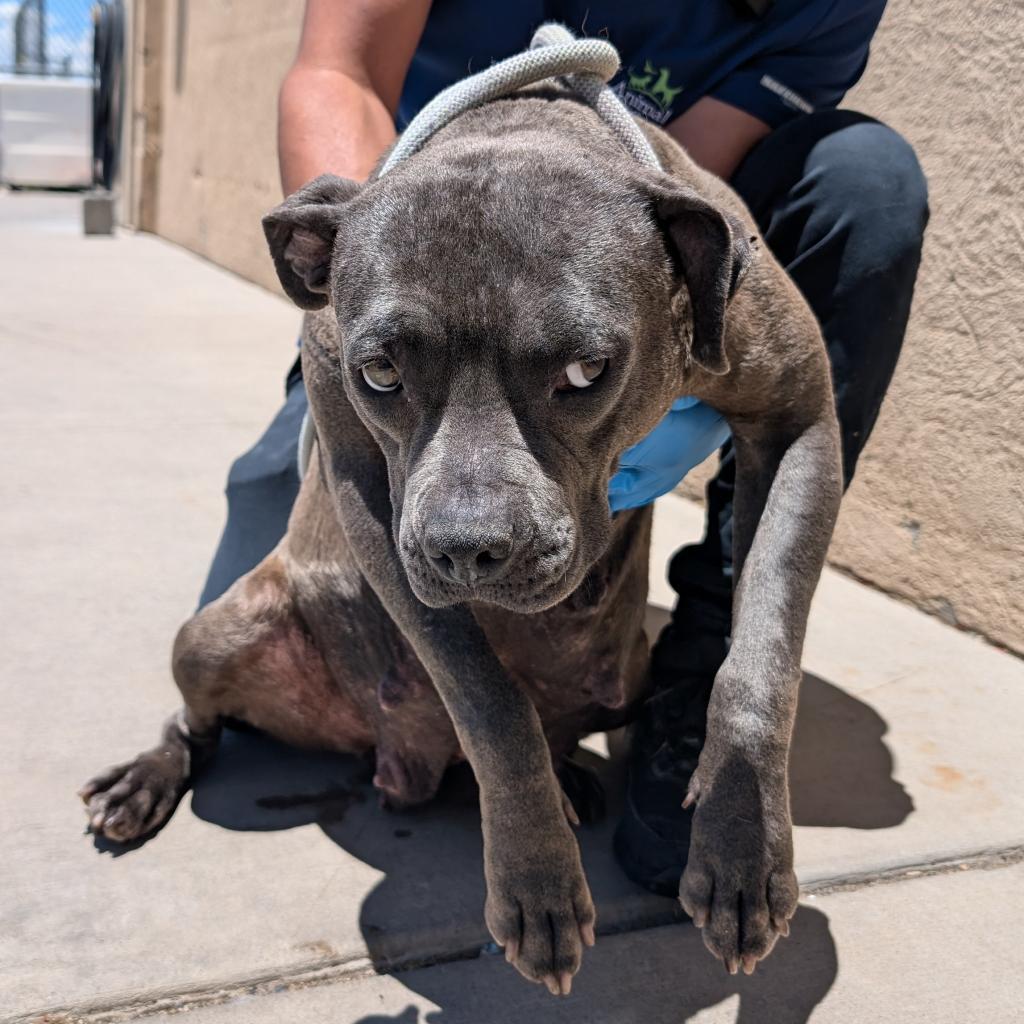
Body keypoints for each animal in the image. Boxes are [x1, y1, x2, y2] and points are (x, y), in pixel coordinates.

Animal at [81, 79, 839, 991]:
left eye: (588, 371)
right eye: (380, 372)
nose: (465, 549)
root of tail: (391, 756)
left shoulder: (799, 426)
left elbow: (760, 661)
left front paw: (740, 851)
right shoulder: (369, 496)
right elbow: (488, 702)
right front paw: (536, 880)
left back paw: (573, 777)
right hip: (214, 633)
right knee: (197, 723)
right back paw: (146, 779)